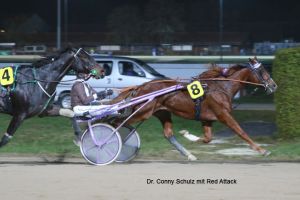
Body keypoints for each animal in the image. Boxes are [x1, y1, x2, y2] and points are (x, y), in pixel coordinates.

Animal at [111, 57, 278, 160]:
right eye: (262, 71)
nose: (274, 85)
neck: (221, 87)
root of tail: (141, 86)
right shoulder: (223, 115)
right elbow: (241, 131)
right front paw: (262, 150)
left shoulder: (207, 119)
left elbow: (207, 138)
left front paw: (187, 135)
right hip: (142, 112)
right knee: (115, 123)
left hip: (162, 112)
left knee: (168, 134)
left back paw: (189, 154)